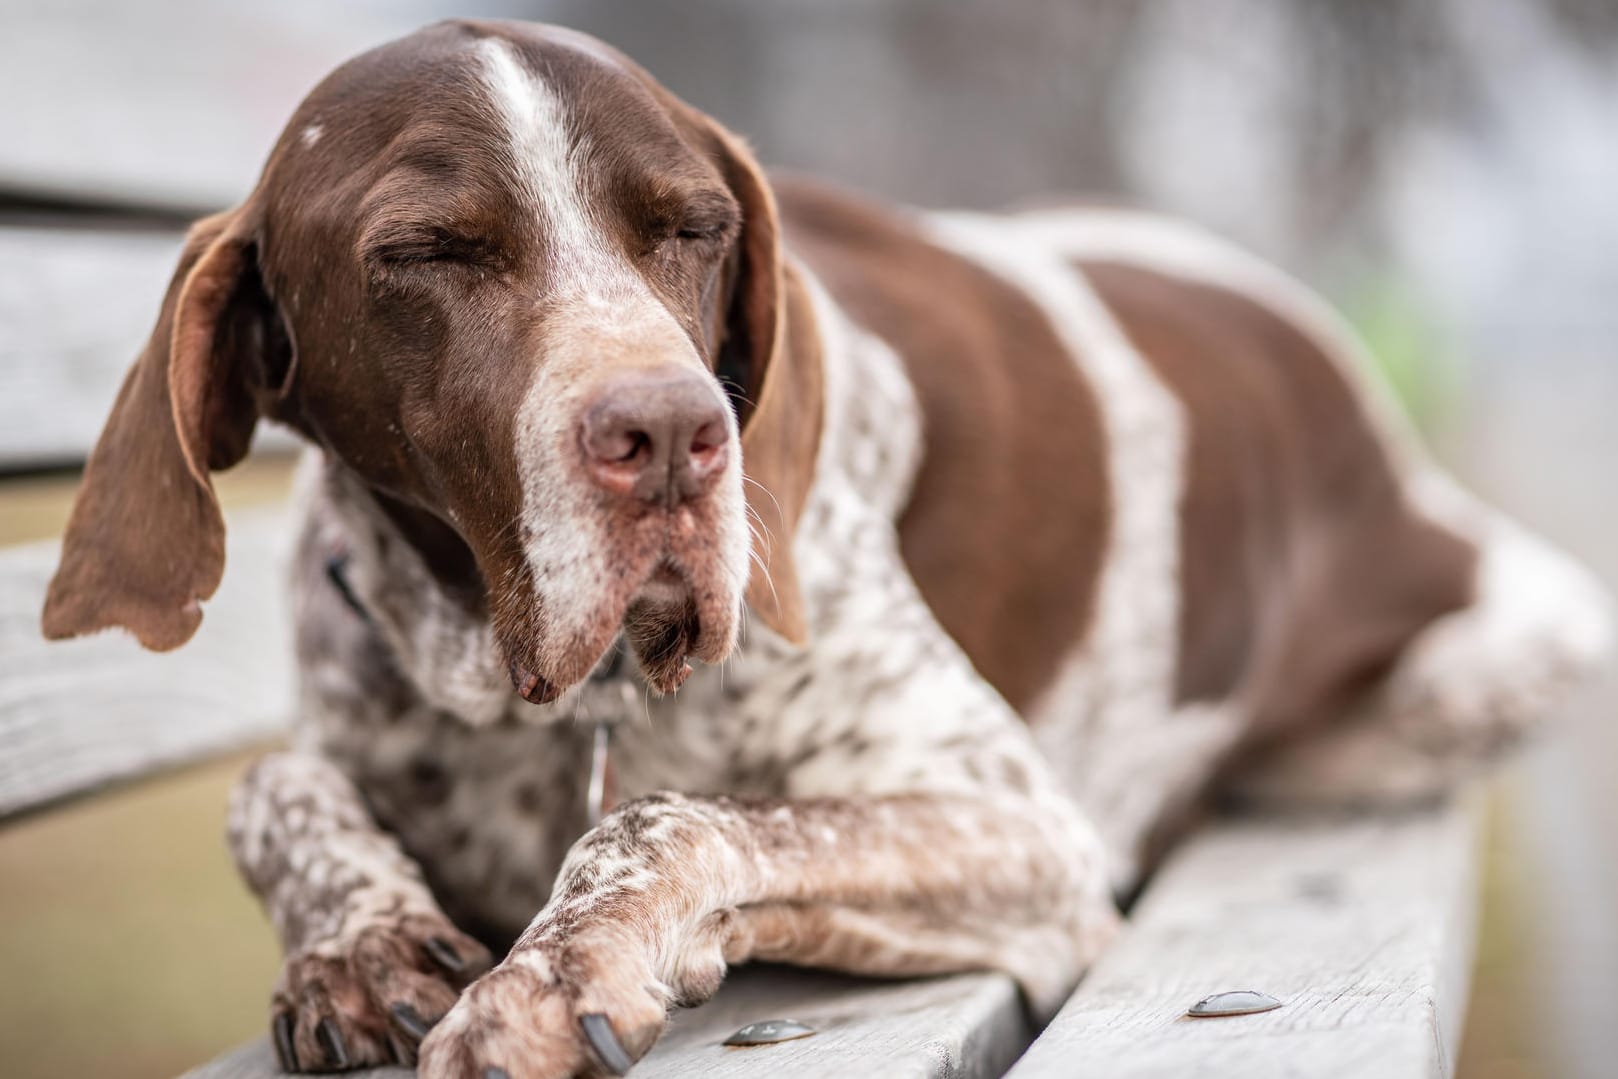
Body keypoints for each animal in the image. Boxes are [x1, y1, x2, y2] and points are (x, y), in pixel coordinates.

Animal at [41, 19, 1618, 1079]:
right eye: (424, 252)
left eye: (695, 227)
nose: (674, 434)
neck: (516, 681)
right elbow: (271, 780)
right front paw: (358, 935)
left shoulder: (1018, 827)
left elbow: (673, 815)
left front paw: (557, 963)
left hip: (1469, 672)